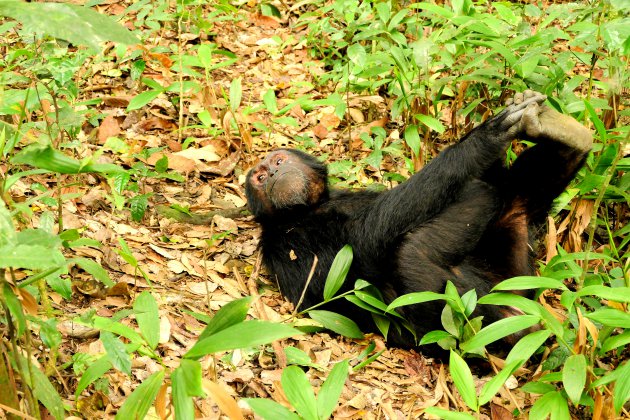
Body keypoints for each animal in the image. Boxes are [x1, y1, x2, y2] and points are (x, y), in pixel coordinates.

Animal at [246, 90, 592, 346]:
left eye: (279, 160)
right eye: (260, 177)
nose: (272, 172)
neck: (308, 209)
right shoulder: (292, 241)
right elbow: (368, 238)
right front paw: (487, 136)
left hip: (515, 270)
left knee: (517, 201)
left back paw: (565, 132)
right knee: (410, 255)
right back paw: (507, 329)